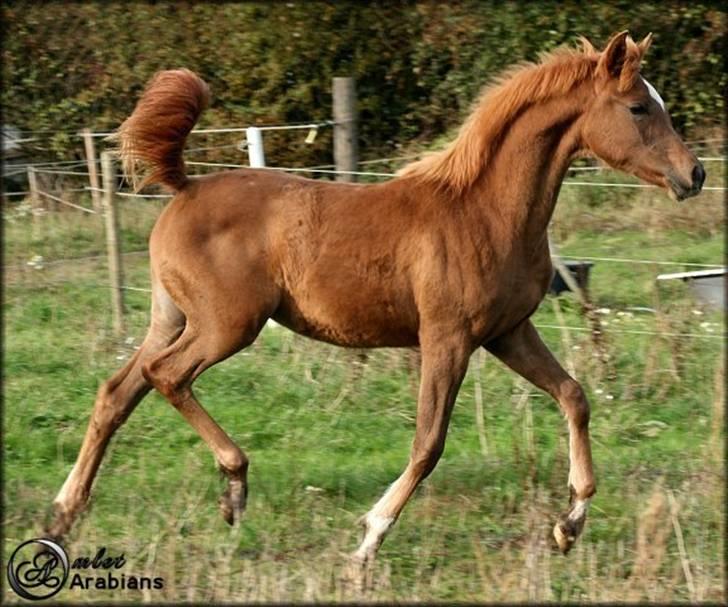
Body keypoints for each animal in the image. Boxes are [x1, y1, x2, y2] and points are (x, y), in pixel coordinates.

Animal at [47, 32, 704, 564]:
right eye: (639, 107)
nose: (694, 175)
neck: (485, 211)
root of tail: (184, 186)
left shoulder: (508, 332)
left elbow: (574, 397)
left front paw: (570, 525)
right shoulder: (447, 338)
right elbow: (429, 442)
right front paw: (369, 537)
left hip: (173, 318)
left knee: (117, 392)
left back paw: (63, 515)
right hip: (227, 325)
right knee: (165, 375)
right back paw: (234, 485)